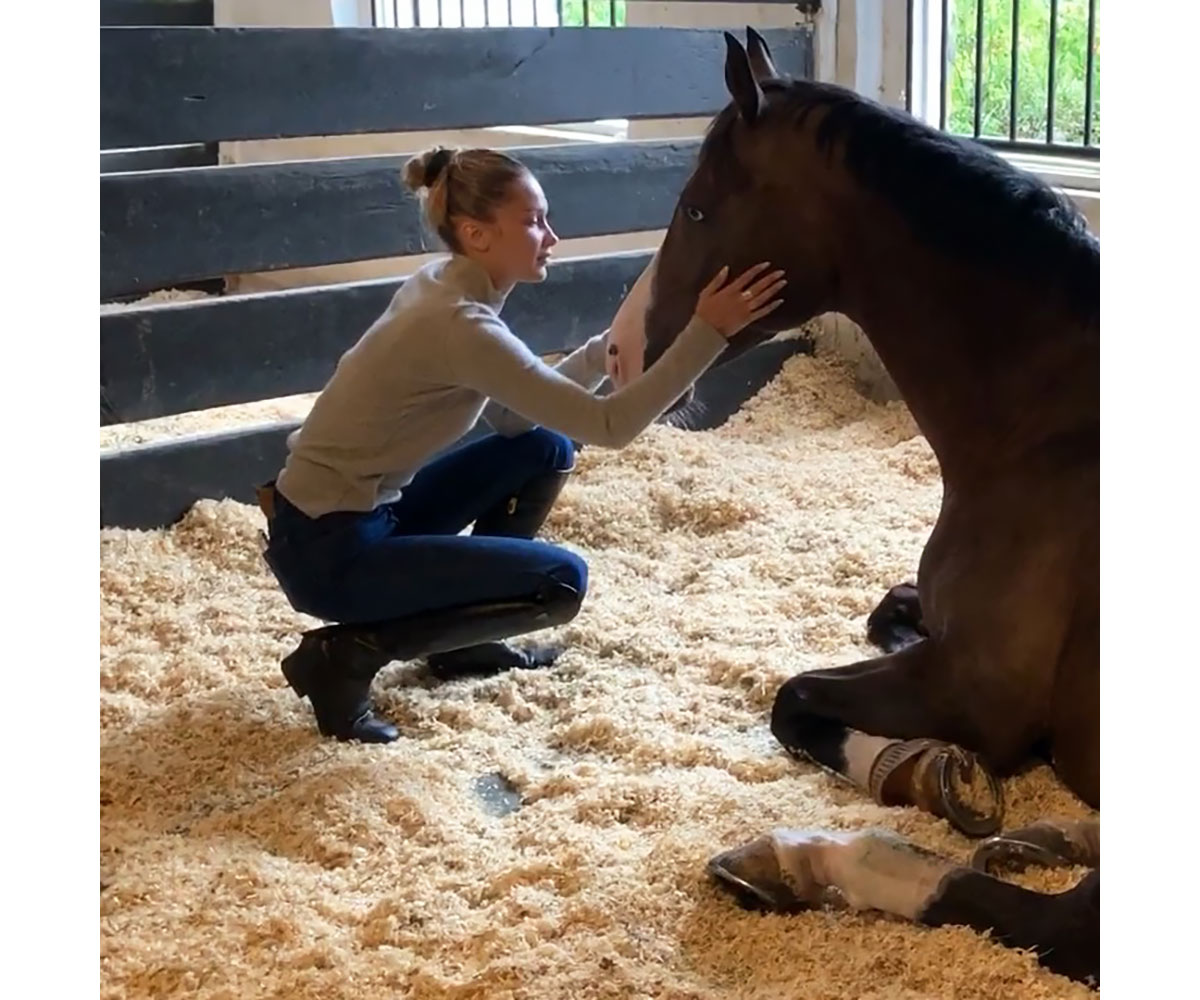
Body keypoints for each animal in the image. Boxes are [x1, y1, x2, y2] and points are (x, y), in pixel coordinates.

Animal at [643, 27, 1099, 989]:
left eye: (696, 211)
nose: (645, 351)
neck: (1056, 422)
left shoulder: (982, 692)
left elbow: (793, 700)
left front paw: (918, 770)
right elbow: (885, 611)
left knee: (1043, 917)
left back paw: (806, 858)